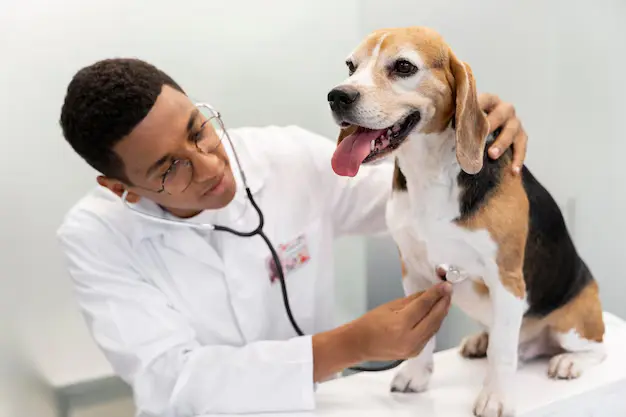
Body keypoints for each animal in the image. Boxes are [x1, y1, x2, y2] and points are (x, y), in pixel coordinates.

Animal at [326, 26, 604, 416]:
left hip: (573, 322)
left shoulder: (507, 279)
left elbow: (502, 352)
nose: (337, 96)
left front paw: (496, 398)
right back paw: (480, 341)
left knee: (594, 347)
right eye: (351, 66)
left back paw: (568, 361)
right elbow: (426, 338)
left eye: (403, 66)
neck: (429, 174)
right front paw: (416, 375)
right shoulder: (414, 269)